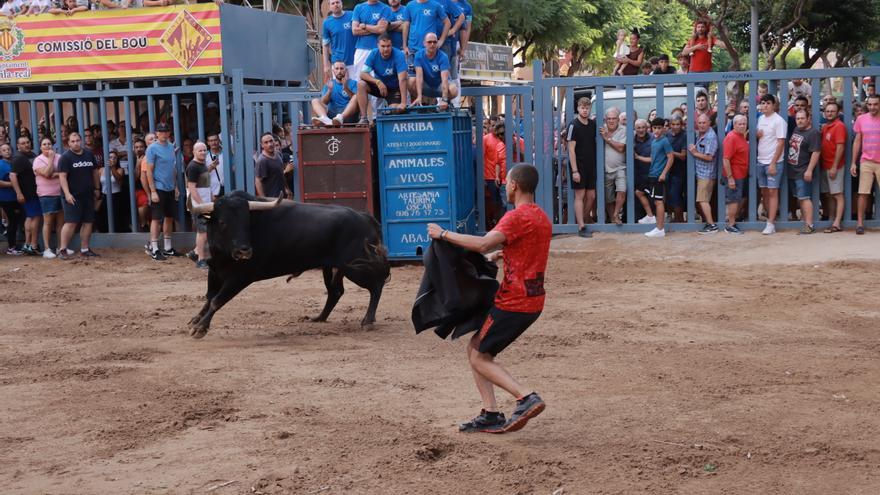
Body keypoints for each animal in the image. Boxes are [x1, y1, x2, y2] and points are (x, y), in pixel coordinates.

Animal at [187, 192, 390, 340]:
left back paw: (367, 321)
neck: (224, 254)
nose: (244, 251)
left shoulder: (240, 278)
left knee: (376, 286)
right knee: (336, 292)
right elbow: (209, 297)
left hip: (357, 267)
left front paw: (200, 328)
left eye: (247, 222)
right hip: (332, 268)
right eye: (222, 222)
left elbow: (217, 300)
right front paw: (195, 320)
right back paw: (320, 318)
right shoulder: (214, 270)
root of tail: (366, 218)